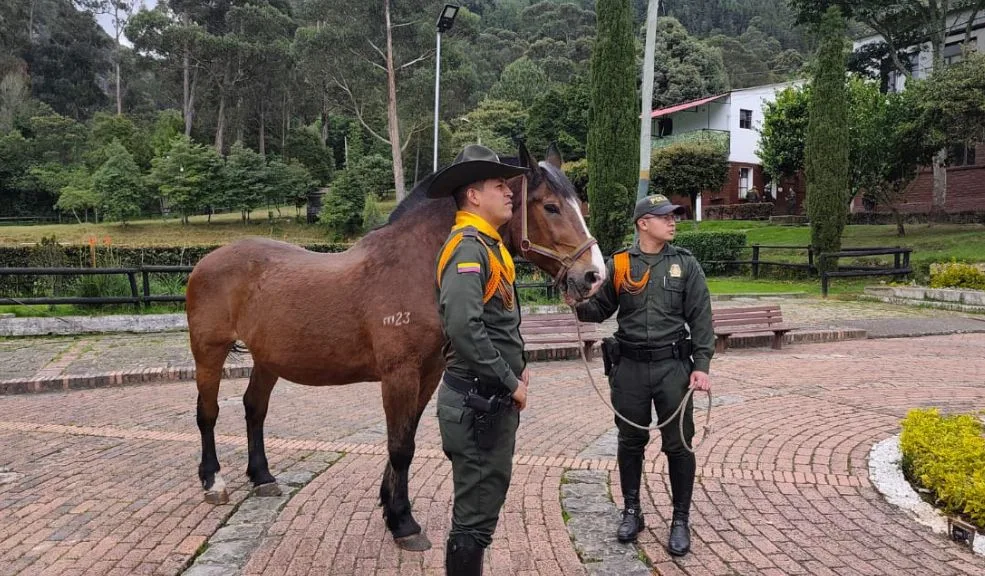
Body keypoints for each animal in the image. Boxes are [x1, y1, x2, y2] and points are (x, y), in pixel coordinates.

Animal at [184, 142, 607, 551]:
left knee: (254, 409)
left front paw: (390, 508)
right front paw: (404, 523)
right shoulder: (399, 376)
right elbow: (400, 446)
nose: (593, 276)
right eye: (550, 206)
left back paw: (262, 477)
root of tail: (207, 261)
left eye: (579, 205)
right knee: (208, 413)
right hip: (209, 351)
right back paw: (213, 482)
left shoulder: (428, 374)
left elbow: (406, 441)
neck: (420, 266)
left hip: (267, 359)